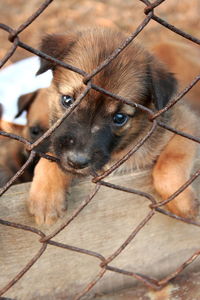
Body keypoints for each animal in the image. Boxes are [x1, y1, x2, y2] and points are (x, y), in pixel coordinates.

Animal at [27, 28, 198, 225]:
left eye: (119, 118)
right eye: (68, 101)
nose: (77, 162)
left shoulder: (186, 123)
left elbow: (171, 161)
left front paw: (182, 201)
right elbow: (51, 156)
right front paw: (46, 197)